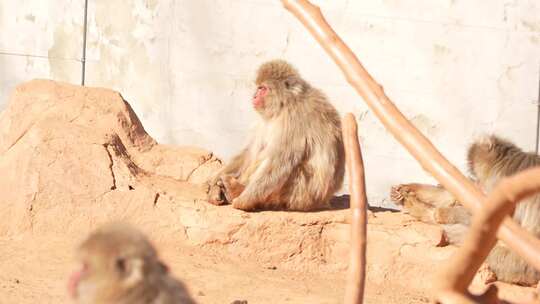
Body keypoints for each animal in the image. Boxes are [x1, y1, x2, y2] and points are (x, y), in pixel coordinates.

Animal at [207, 59, 342, 211]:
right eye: (258, 87)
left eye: (262, 88)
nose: (254, 96)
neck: (285, 104)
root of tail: (324, 201)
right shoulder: (266, 118)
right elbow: (250, 152)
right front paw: (214, 179)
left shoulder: (294, 120)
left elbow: (280, 162)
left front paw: (243, 200)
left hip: (301, 195)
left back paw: (236, 190)